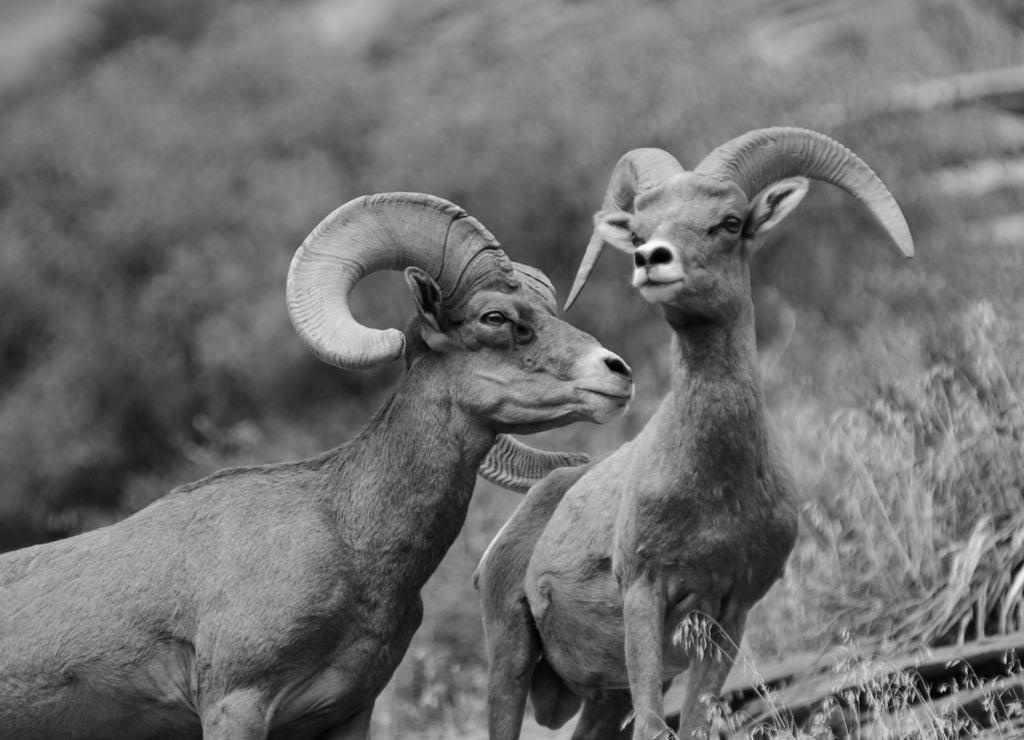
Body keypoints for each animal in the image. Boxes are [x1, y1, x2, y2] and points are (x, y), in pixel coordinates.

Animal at [475, 130, 917, 736]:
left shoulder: (730, 614)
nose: (651, 260)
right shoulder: (644, 594)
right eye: (639, 233)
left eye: (730, 222)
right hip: (510, 657)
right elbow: (654, 728)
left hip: (604, 698)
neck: (715, 489)